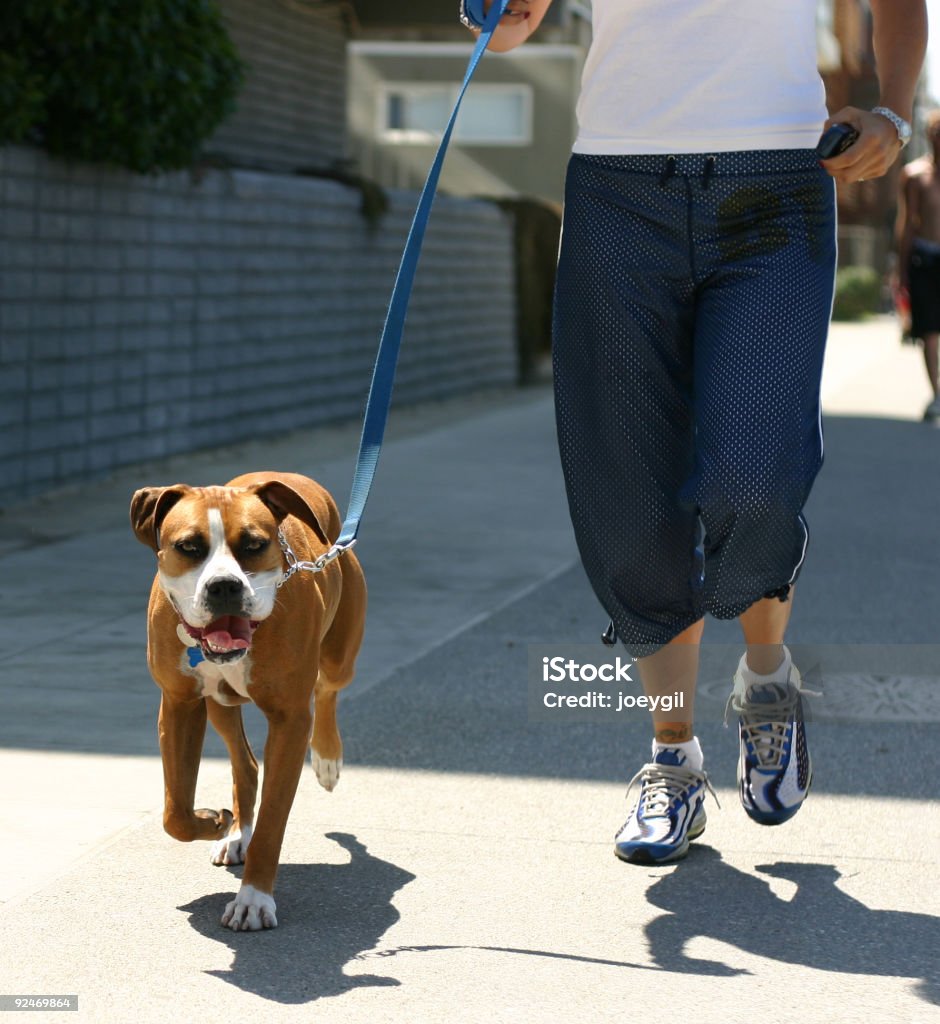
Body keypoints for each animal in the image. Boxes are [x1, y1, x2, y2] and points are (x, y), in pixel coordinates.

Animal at [130, 468, 366, 929]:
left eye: (254, 545)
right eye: (189, 547)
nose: (224, 586)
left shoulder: (290, 720)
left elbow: (273, 821)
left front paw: (254, 899)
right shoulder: (179, 705)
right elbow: (175, 812)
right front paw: (213, 822)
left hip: (339, 656)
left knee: (327, 689)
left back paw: (328, 758)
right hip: (219, 705)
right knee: (246, 764)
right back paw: (237, 832)